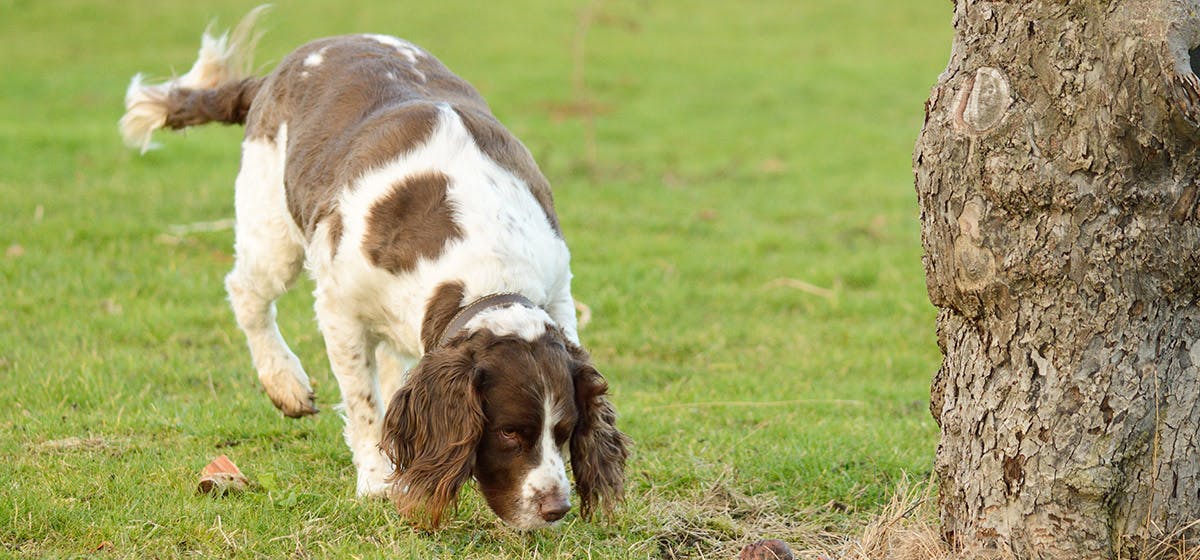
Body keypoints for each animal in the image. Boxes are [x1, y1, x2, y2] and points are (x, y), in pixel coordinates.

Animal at [117, 10, 633, 532]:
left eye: (565, 429)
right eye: (509, 432)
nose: (556, 508)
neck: (488, 267)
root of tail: (275, 74)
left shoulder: (557, 292)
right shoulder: (340, 308)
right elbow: (363, 402)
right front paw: (376, 480)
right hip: (272, 231)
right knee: (246, 291)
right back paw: (284, 382)